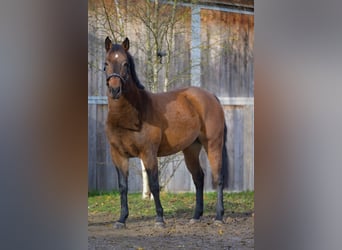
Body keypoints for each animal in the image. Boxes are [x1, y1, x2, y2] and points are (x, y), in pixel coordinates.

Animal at [103, 37, 228, 229]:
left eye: (125, 64)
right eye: (106, 63)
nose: (115, 90)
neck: (131, 115)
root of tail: (211, 96)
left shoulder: (148, 154)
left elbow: (154, 185)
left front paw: (159, 219)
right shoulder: (118, 155)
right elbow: (123, 187)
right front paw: (121, 219)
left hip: (213, 144)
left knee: (218, 177)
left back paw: (219, 217)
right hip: (191, 149)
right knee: (198, 178)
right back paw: (196, 216)